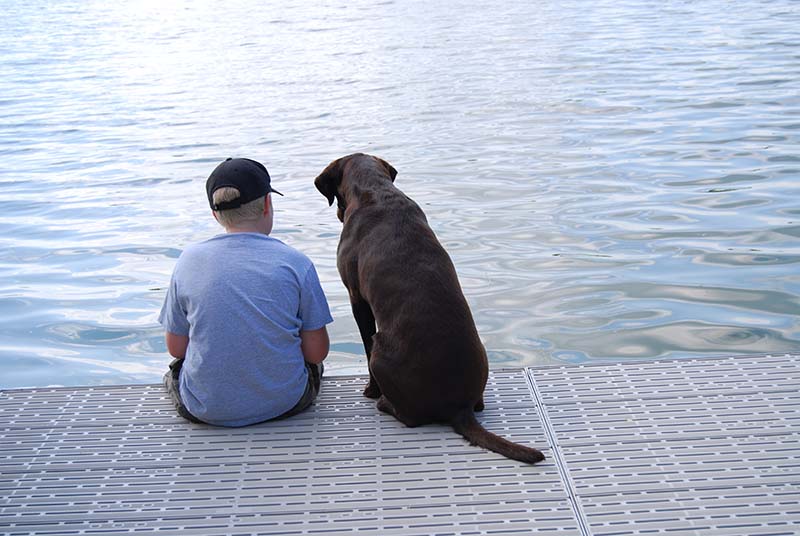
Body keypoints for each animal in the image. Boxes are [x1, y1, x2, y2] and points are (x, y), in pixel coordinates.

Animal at [316, 153, 548, 462]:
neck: (376, 191)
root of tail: (458, 407)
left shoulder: (357, 299)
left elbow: (363, 347)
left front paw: (370, 391)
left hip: (380, 350)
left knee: (408, 415)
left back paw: (384, 403)